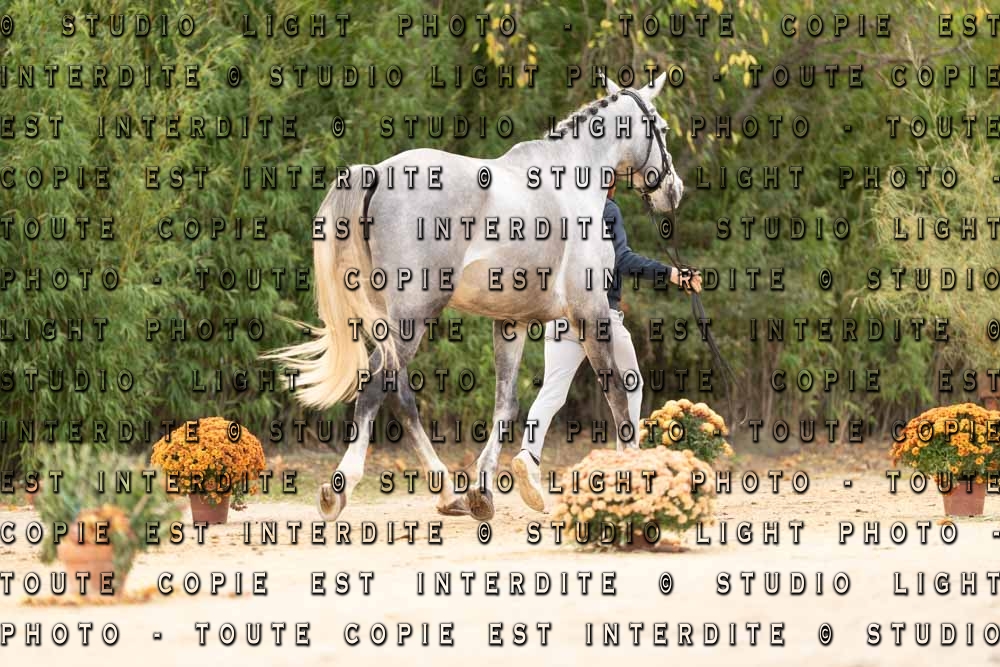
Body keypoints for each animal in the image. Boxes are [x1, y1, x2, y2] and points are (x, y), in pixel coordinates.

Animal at [263, 73, 684, 522]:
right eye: (662, 127)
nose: (673, 190)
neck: (570, 180)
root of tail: (377, 172)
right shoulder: (591, 311)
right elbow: (618, 394)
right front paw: (632, 477)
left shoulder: (512, 323)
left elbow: (506, 404)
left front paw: (482, 491)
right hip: (414, 315)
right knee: (377, 382)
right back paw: (340, 488)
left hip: (392, 319)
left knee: (401, 394)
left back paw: (448, 493)